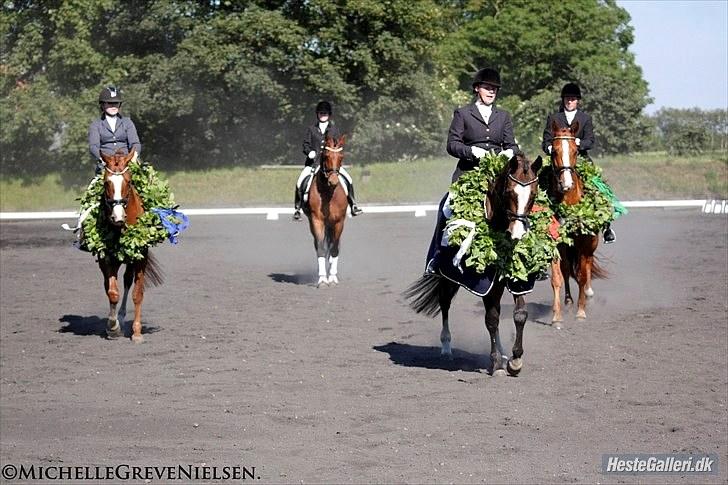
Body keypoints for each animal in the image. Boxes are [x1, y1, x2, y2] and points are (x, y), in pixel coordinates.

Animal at [98, 149, 162, 342]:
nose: (118, 217)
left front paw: (137, 332)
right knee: (111, 286)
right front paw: (113, 327)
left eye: (128, 181)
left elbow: (137, 293)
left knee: (127, 281)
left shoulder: (141, 257)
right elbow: (112, 292)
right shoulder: (107, 259)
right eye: (106, 182)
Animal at [304, 136, 350, 286]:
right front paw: (323, 279)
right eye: (326, 156)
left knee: (334, 245)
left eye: (341, 157)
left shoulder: (339, 222)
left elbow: (335, 248)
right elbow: (320, 248)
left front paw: (333, 277)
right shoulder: (316, 221)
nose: (333, 181)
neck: (328, 193)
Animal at [406, 153, 544, 376]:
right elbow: (491, 319)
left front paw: (515, 361)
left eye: (533, 194)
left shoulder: (516, 279)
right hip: (446, 275)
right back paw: (446, 347)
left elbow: (519, 315)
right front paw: (496, 365)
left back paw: (503, 352)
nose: (517, 234)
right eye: (509, 192)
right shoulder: (485, 284)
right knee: (445, 302)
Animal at [548, 121, 604, 326]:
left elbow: (581, 275)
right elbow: (557, 277)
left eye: (575, 150)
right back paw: (569, 301)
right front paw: (557, 317)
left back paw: (587, 295)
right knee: (566, 269)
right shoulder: (555, 243)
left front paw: (581, 312)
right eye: (554, 151)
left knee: (586, 267)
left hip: (590, 245)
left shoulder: (585, 243)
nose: (566, 184)